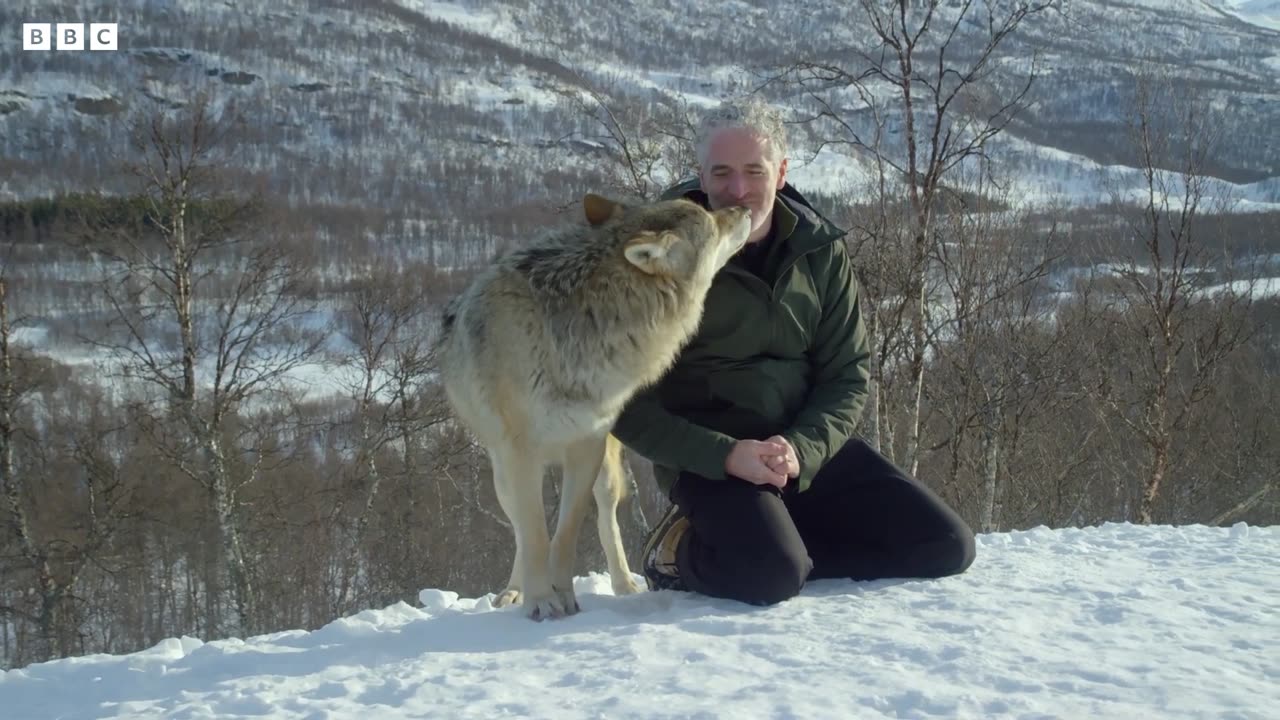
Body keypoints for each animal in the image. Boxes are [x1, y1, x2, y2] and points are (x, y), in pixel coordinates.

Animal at [437, 193, 747, 620]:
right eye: (712, 222)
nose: (744, 208)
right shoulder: (521, 454)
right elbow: (535, 535)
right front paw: (541, 600)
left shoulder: (587, 445)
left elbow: (566, 534)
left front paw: (564, 596)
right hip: (502, 476)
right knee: (520, 529)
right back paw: (514, 590)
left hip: (606, 469)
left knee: (606, 519)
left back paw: (623, 584)